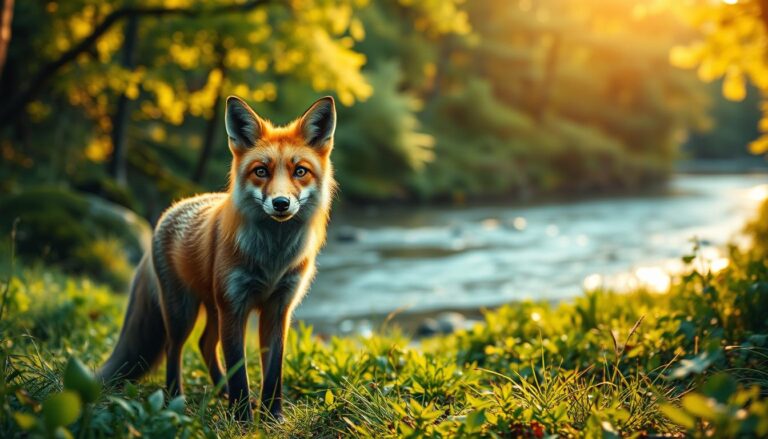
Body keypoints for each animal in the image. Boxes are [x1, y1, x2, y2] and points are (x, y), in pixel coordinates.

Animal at [98, 95, 337, 422]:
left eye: (300, 171)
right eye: (261, 171)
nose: (281, 203)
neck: (271, 259)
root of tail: (169, 210)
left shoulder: (278, 308)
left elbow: (273, 371)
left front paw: (272, 416)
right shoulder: (234, 305)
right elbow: (239, 371)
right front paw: (243, 419)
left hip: (212, 308)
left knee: (205, 344)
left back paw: (219, 392)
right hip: (182, 310)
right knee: (175, 348)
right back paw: (176, 399)